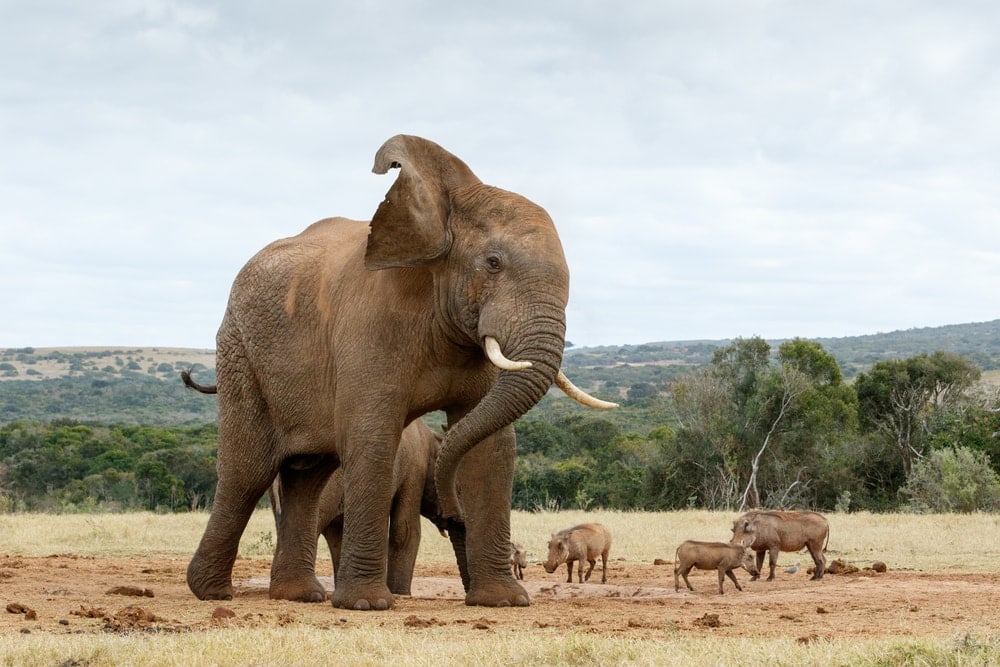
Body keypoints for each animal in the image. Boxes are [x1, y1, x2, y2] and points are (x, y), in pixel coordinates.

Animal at [184, 134, 612, 612]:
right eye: (493, 262)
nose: (452, 506)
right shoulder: (370, 325)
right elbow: (374, 438)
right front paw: (367, 605)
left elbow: (492, 447)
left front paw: (503, 603)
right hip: (240, 352)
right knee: (247, 472)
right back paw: (211, 592)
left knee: (308, 478)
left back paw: (300, 595)